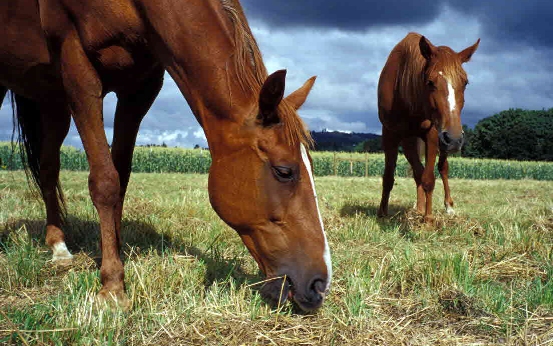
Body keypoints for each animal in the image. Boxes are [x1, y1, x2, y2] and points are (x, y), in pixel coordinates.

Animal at [0, 0, 330, 310]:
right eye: (284, 171)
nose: (319, 285)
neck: (137, 7)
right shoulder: (78, 71)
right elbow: (105, 181)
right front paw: (112, 287)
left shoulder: (140, 88)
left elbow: (121, 176)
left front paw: (114, 253)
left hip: (52, 101)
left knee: (48, 168)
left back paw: (58, 245)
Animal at [376, 31, 478, 222]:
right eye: (430, 82)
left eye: (465, 83)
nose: (454, 139)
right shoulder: (390, 134)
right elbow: (389, 177)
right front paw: (382, 213)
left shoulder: (432, 134)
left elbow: (429, 178)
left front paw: (429, 219)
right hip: (412, 140)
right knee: (418, 172)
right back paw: (419, 207)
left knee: (443, 169)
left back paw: (448, 206)